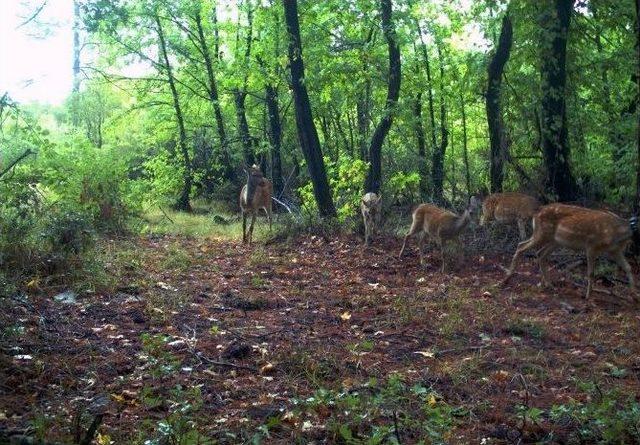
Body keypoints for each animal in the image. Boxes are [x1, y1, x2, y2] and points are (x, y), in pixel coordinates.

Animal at [502, 204, 636, 302]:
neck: (615, 233)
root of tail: (535, 214)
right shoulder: (591, 246)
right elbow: (591, 273)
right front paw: (588, 296)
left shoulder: (615, 250)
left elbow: (628, 267)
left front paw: (635, 296)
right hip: (542, 234)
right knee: (521, 246)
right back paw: (507, 278)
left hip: (555, 241)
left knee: (540, 253)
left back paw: (548, 284)